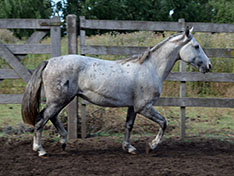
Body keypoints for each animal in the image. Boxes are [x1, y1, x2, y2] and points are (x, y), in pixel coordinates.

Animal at [22, 26, 212, 156]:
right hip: (58, 100)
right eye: (196, 46)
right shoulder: (144, 107)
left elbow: (129, 125)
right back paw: (40, 150)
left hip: (61, 100)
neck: (151, 68)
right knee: (41, 120)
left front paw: (129, 147)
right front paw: (151, 146)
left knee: (51, 117)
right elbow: (163, 123)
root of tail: (50, 61)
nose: (209, 66)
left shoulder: (133, 107)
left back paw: (63, 141)